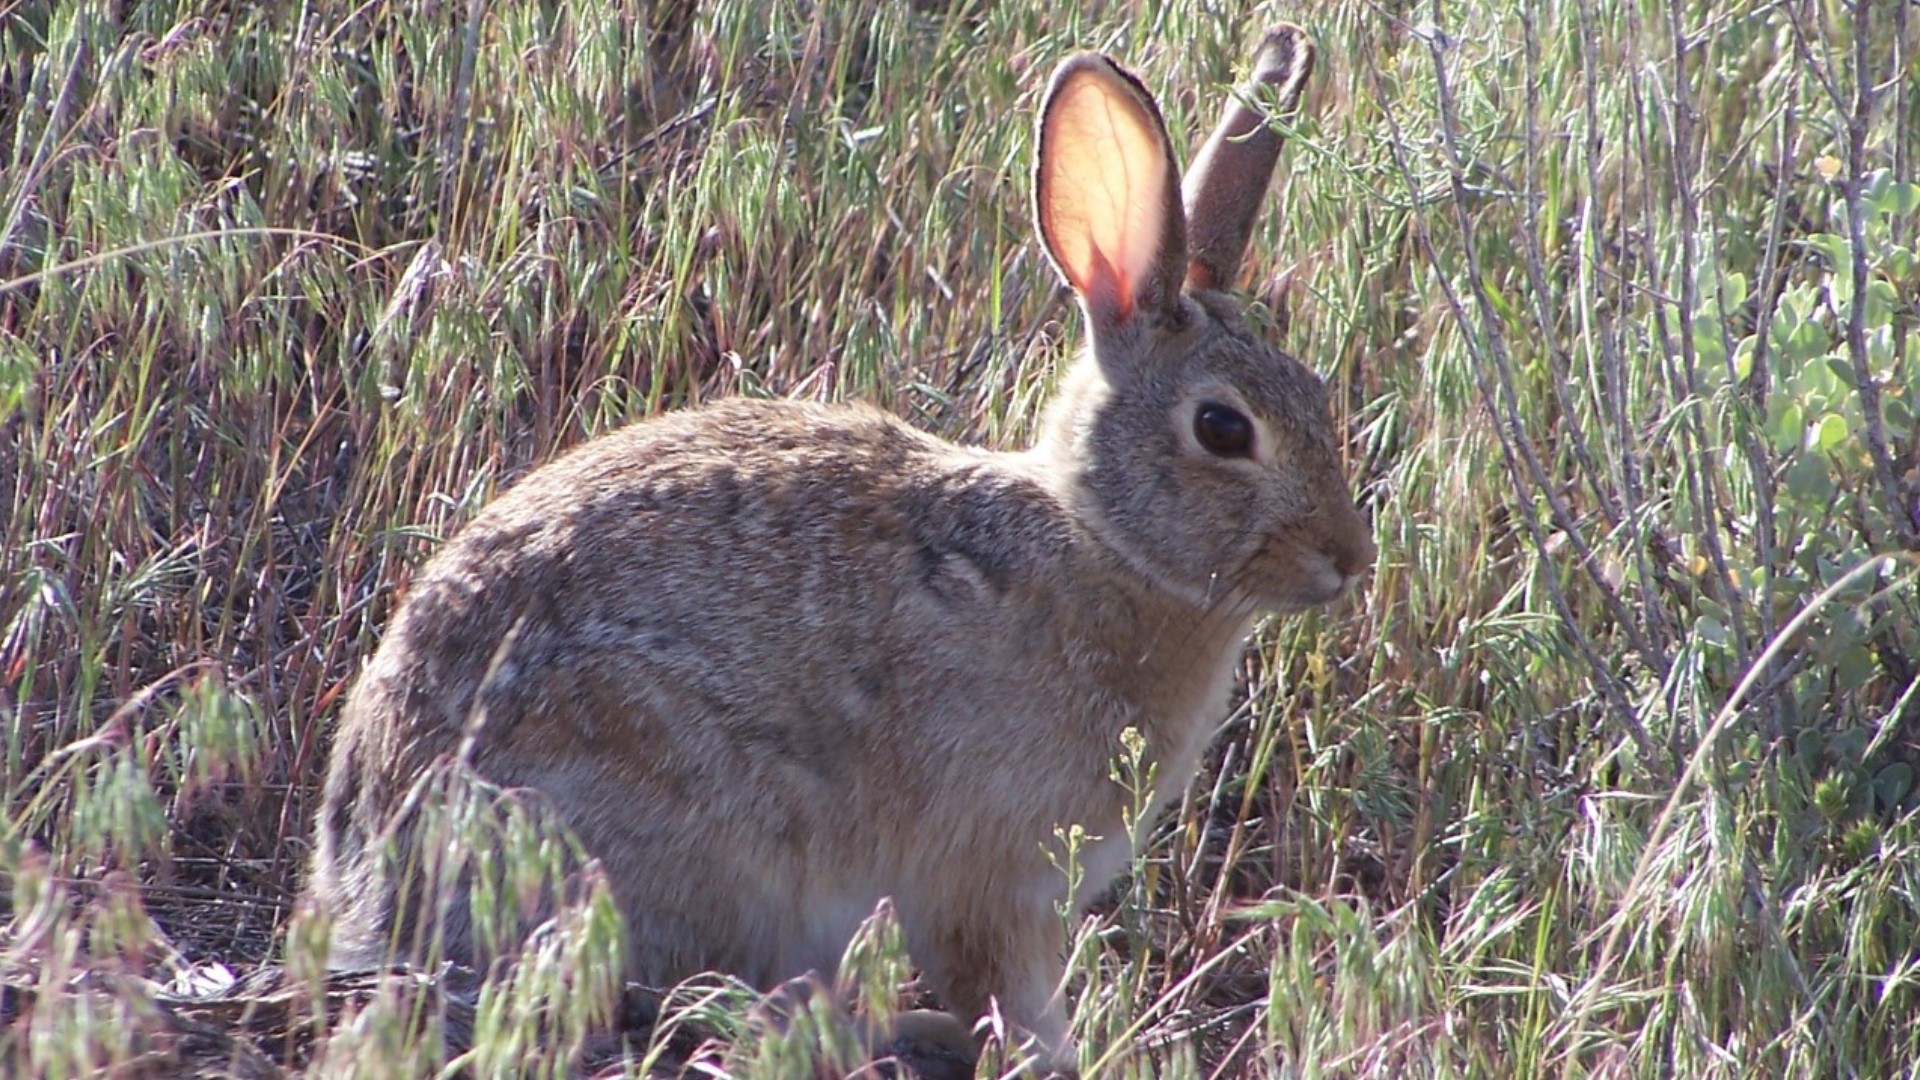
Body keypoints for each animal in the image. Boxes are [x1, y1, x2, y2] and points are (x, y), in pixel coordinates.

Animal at [307, 23, 1371, 1075]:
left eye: (1319, 395)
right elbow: (1010, 1000)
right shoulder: (990, 884)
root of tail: (370, 875)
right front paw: (1050, 1058)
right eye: (1223, 430)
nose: (1349, 558)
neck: (1099, 539)